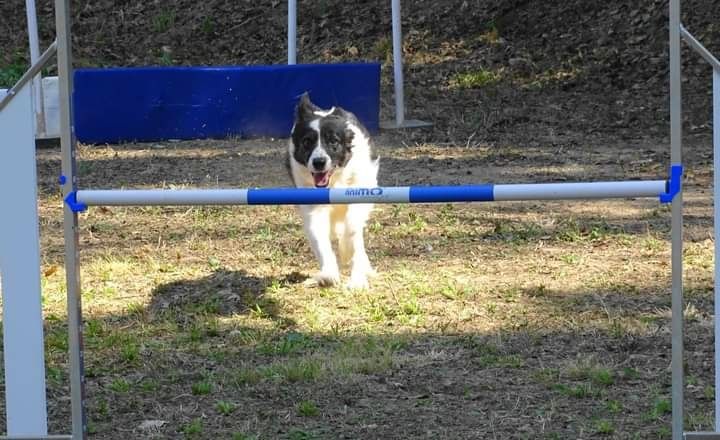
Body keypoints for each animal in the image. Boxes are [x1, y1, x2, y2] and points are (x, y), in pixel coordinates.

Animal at [286, 93, 380, 288]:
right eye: (307, 142)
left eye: (333, 142)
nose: (319, 162)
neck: (335, 180)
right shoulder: (313, 206)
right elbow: (319, 236)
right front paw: (328, 274)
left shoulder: (361, 191)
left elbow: (352, 228)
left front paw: (347, 254)